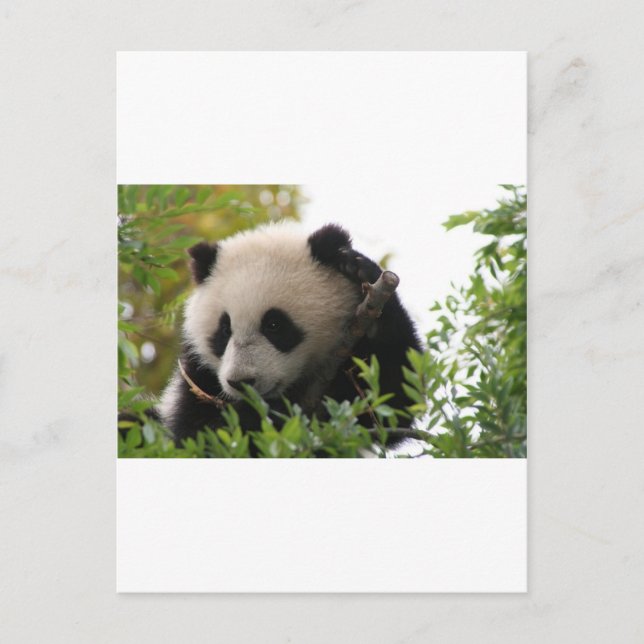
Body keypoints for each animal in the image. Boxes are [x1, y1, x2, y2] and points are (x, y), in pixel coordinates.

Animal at [157, 222, 422, 451]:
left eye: (274, 325)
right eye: (224, 330)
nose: (241, 382)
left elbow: (390, 402)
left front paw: (360, 270)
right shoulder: (197, 379)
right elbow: (202, 435)